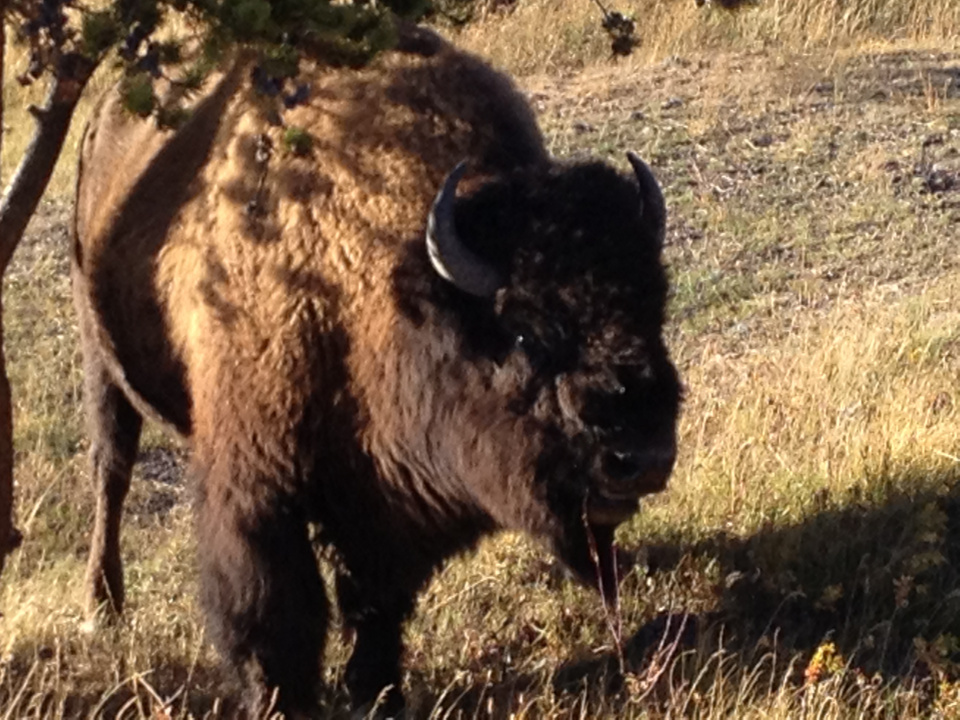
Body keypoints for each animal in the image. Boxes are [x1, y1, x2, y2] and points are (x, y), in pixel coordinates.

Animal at [72, 23, 681, 719]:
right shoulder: (257, 488)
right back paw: (101, 607)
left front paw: (376, 690)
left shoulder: (382, 495)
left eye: (653, 308)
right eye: (525, 330)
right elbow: (273, 612)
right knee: (111, 472)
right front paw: (282, 701)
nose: (641, 457)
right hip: (100, 358)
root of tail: (105, 112)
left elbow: (375, 600)